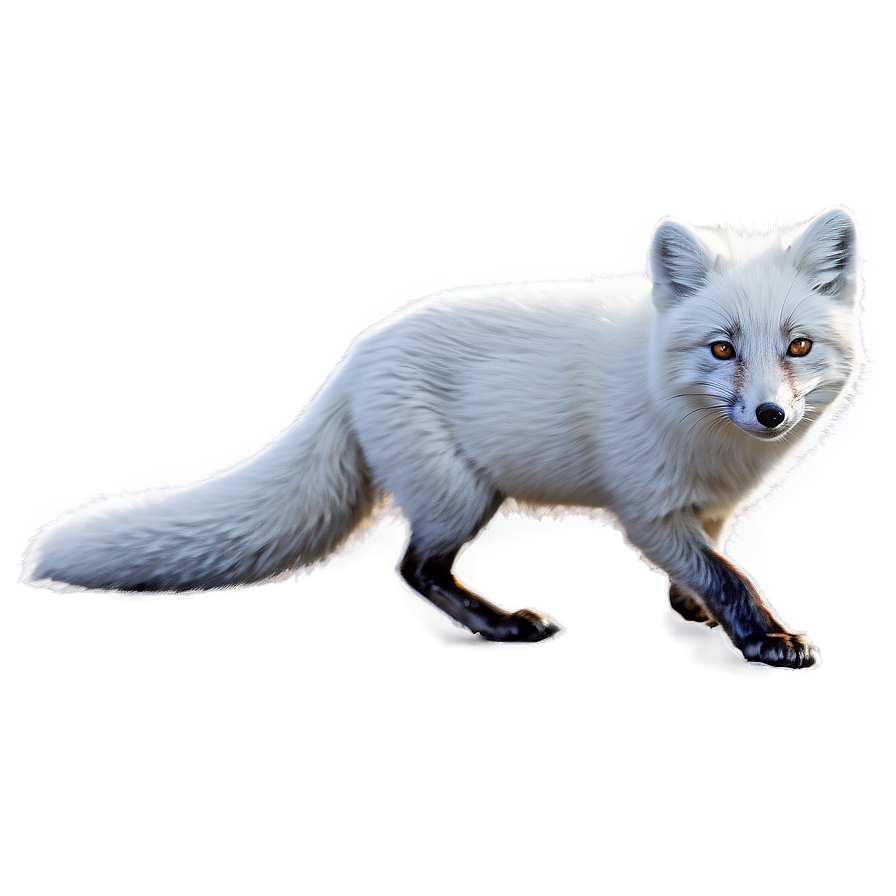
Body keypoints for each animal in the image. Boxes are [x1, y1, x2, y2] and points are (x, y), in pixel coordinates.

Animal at [22, 206, 866, 669]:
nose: (770, 417)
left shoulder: (706, 509)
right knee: (415, 567)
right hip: (462, 497)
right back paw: (501, 626)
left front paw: (695, 609)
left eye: (797, 347)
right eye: (722, 349)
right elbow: (730, 577)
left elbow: (712, 567)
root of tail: (356, 356)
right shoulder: (648, 511)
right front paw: (763, 638)